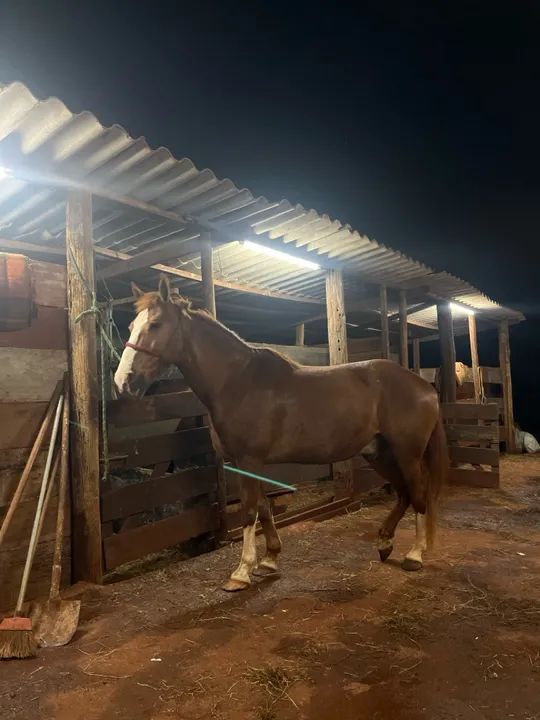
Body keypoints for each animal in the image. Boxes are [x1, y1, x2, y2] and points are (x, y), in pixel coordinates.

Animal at [114, 276, 448, 591]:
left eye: (156, 324)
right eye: (131, 326)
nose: (122, 383)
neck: (238, 382)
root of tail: (423, 386)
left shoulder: (248, 460)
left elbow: (249, 511)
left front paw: (241, 573)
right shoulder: (250, 463)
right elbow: (264, 508)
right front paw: (269, 559)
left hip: (407, 453)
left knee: (418, 494)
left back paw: (414, 554)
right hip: (379, 453)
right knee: (404, 493)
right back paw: (384, 542)